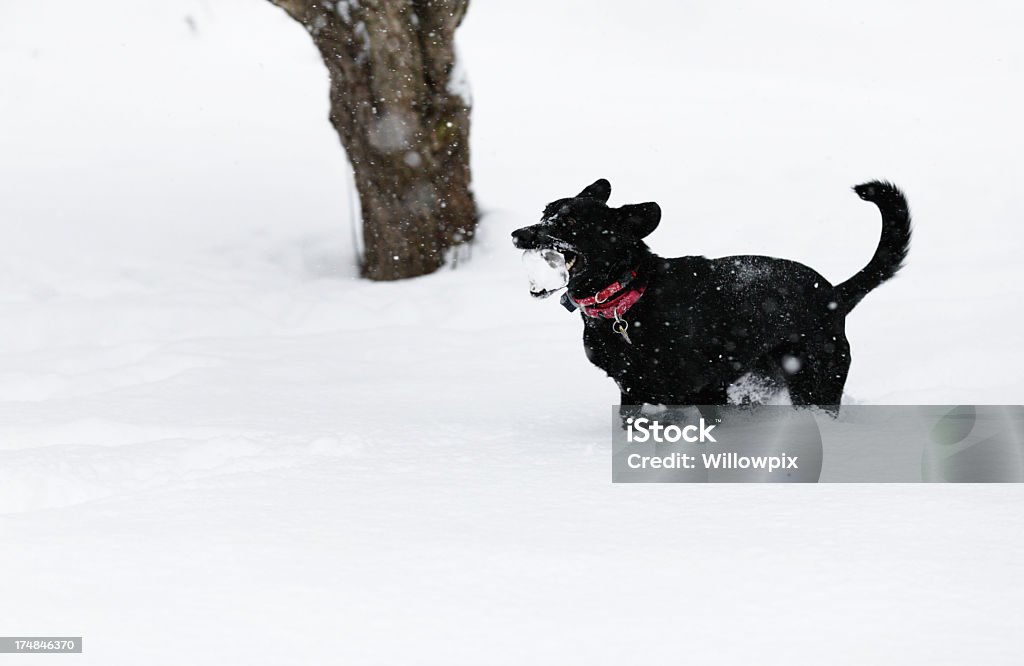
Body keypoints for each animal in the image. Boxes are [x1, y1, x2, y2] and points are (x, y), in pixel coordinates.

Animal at [512, 176, 913, 413]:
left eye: (571, 222)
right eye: (545, 213)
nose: (518, 234)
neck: (629, 299)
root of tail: (833, 294)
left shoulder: (706, 389)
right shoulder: (632, 389)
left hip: (815, 382)